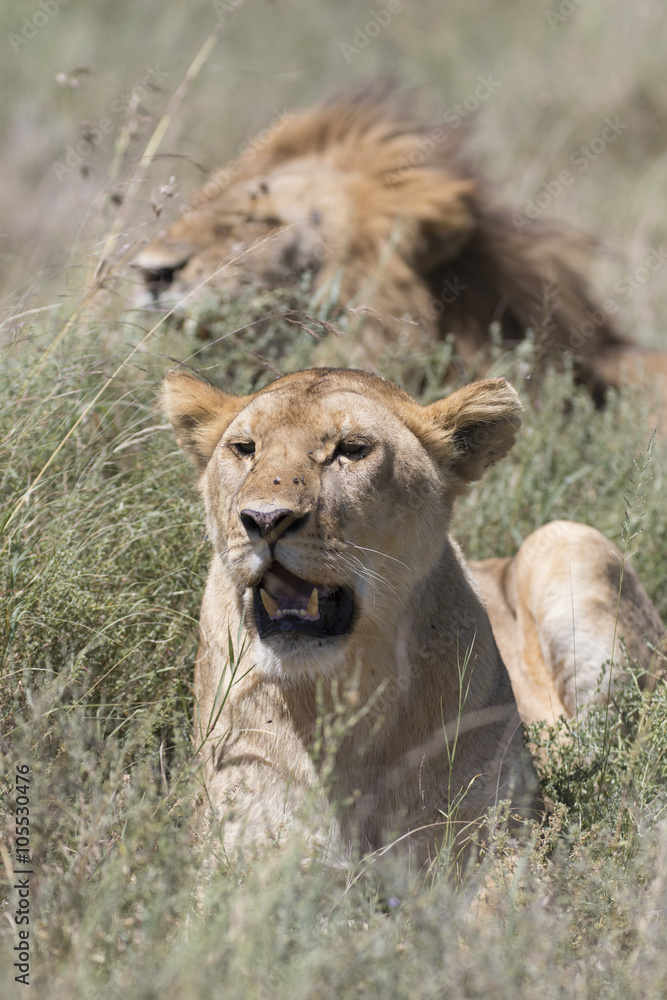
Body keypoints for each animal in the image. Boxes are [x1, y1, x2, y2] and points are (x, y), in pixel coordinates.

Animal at [162, 366, 664, 870]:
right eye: (244, 448)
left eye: (352, 449)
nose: (265, 520)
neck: (346, 697)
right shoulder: (236, 844)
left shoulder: (501, 836)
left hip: (564, 539)